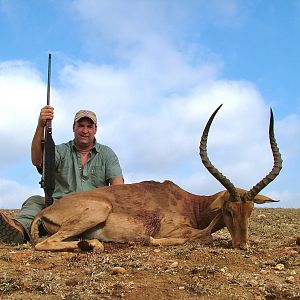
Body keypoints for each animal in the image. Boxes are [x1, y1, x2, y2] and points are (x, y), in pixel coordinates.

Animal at [29, 104, 282, 252]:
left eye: (250, 210)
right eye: (228, 210)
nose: (242, 245)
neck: (191, 203)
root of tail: (47, 211)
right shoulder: (176, 231)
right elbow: (203, 237)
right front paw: (147, 240)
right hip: (98, 210)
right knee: (44, 244)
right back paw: (93, 244)